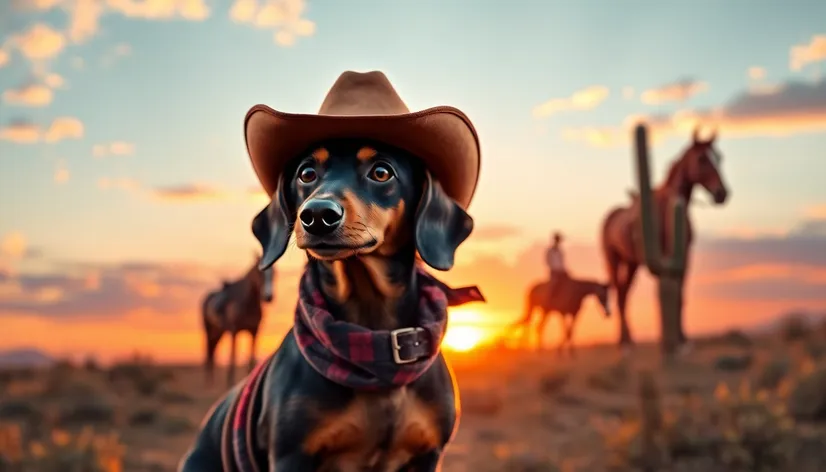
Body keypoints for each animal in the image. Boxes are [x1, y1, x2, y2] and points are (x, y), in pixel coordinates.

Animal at [201, 253, 276, 390]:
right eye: (260, 273)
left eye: (275, 273)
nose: (268, 297)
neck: (248, 302)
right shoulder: (234, 331)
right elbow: (233, 357)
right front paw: (230, 383)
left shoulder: (254, 332)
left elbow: (251, 357)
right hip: (208, 330)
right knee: (208, 353)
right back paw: (208, 383)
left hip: (219, 332)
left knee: (213, 351)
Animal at [600, 127, 728, 352]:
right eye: (702, 158)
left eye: (719, 157)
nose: (722, 193)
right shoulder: (664, 258)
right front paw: (670, 341)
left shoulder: (683, 257)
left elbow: (680, 297)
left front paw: (682, 340)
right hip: (613, 260)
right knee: (619, 295)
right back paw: (624, 343)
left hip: (632, 264)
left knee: (624, 294)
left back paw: (629, 340)